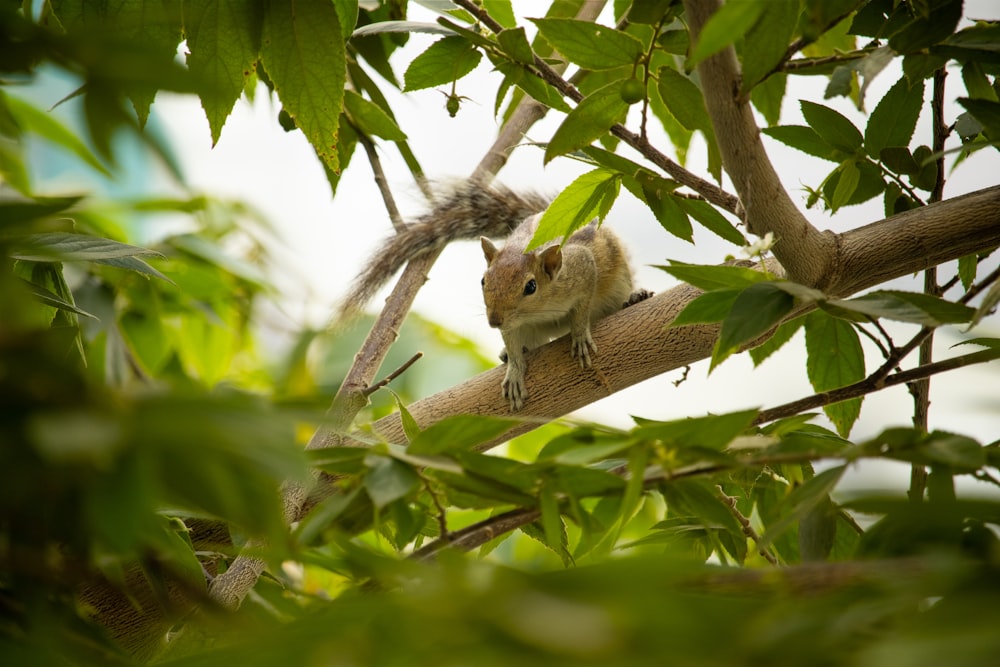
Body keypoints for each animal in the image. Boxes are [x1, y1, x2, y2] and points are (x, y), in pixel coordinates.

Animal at [340, 183, 652, 412]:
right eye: (483, 280)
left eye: (531, 286)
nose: (493, 321)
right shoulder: (513, 323)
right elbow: (513, 344)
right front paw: (513, 369)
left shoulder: (584, 270)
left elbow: (582, 309)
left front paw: (579, 336)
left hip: (618, 282)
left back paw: (636, 296)